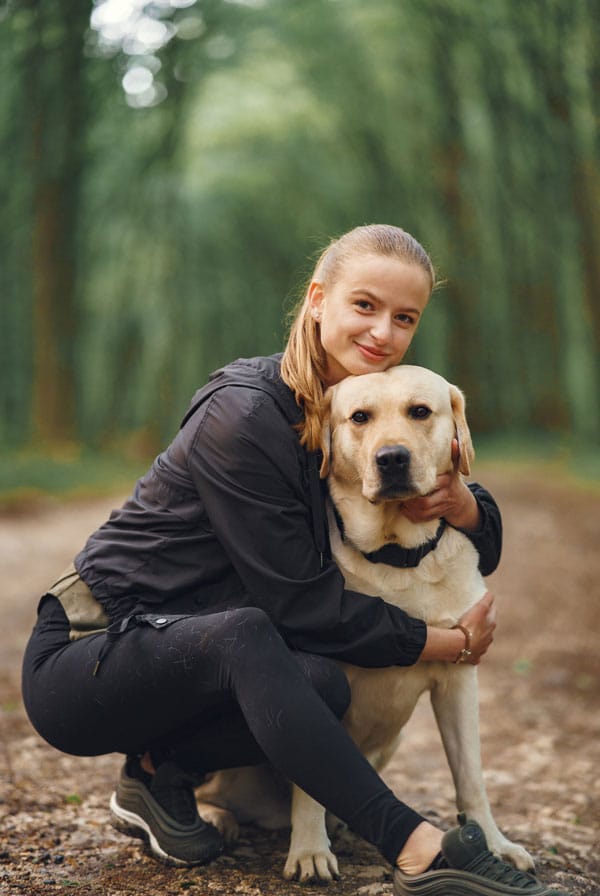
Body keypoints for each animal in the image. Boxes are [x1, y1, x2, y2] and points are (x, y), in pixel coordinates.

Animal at [197, 364, 536, 880]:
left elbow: (471, 775)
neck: (397, 555)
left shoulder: (459, 679)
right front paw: (310, 850)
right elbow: (312, 779)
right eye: (360, 417)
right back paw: (216, 817)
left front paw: (494, 844)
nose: (392, 458)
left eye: (420, 411)